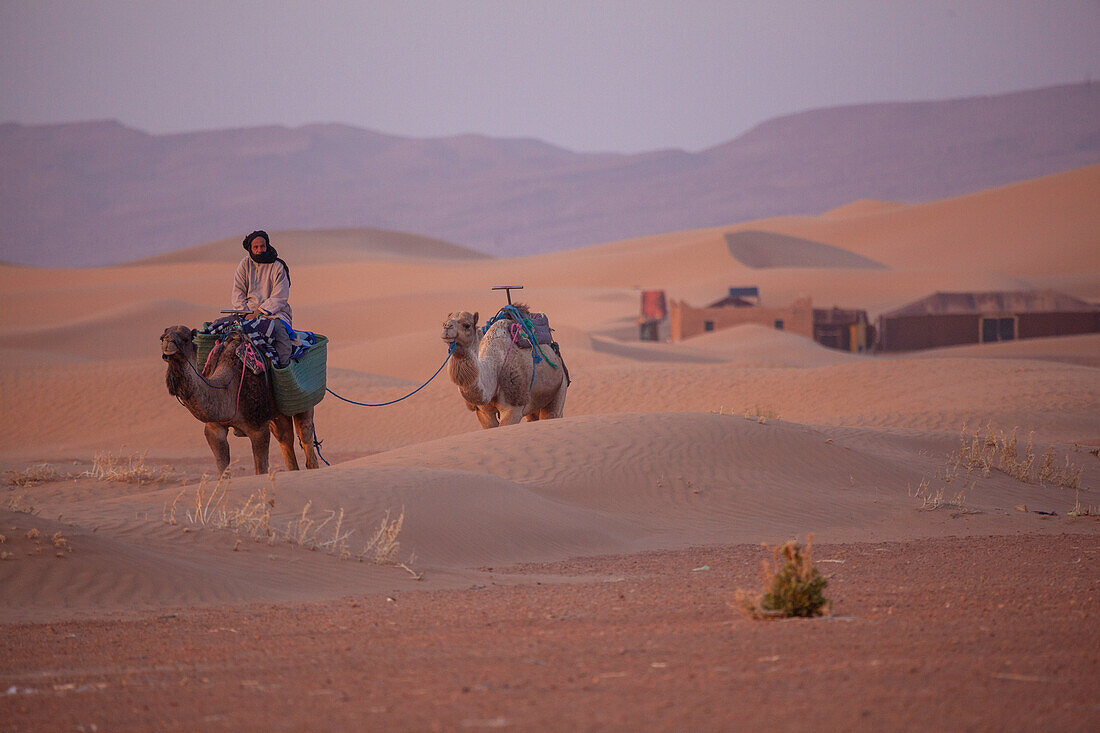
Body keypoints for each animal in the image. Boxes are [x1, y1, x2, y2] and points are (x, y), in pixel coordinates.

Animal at [160, 323, 321, 473]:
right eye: (162, 337)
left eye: (185, 338)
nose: (168, 343)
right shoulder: (214, 428)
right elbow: (222, 472)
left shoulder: (258, 429)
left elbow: (260, 470)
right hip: (276, 414)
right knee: (285, 439)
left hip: (303, 404)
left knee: (305, 438)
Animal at [437, 305, 567, 422]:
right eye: (444, 323)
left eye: (467, 325)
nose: (447, 327)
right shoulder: (483, 411)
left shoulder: (513, 408)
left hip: (561, 386)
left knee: (552, 413)